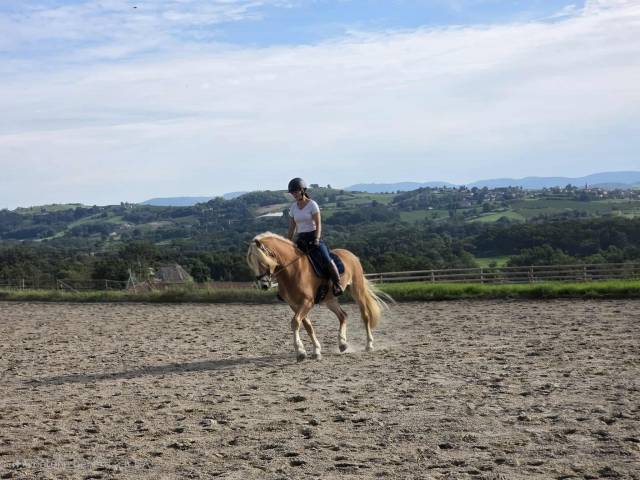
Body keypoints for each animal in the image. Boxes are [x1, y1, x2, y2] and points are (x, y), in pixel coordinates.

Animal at [246, 232, 390, 362]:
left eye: (262, 261)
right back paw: (342, 344)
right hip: (329, 299)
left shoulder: (307, 302)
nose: (264, 285)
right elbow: (307, 326)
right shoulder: (294, 304)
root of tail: (352, 255)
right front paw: (316, 351)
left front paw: (300, 352)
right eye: (252, 263)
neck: (293, 270)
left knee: (365, 316)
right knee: (343, 315)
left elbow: (295, 322)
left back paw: (369, 345)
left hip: (357, 290)